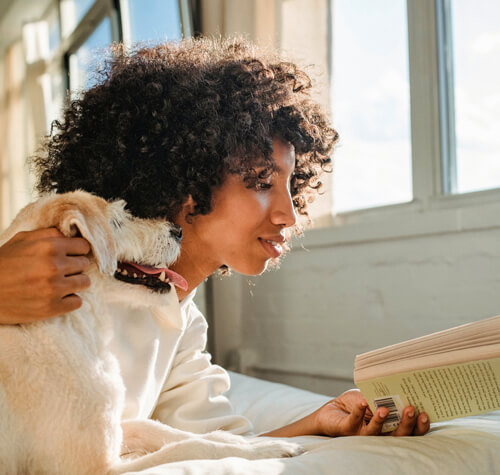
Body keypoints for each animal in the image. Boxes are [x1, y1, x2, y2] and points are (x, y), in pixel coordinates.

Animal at [0, 192, 300, 474]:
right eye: (116, 222)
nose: (178, 230)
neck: (70, 324)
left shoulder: (119, 428)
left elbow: (162, 429)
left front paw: (245, 441)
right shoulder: (96, 468)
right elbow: (189, 448)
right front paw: (262, 451)